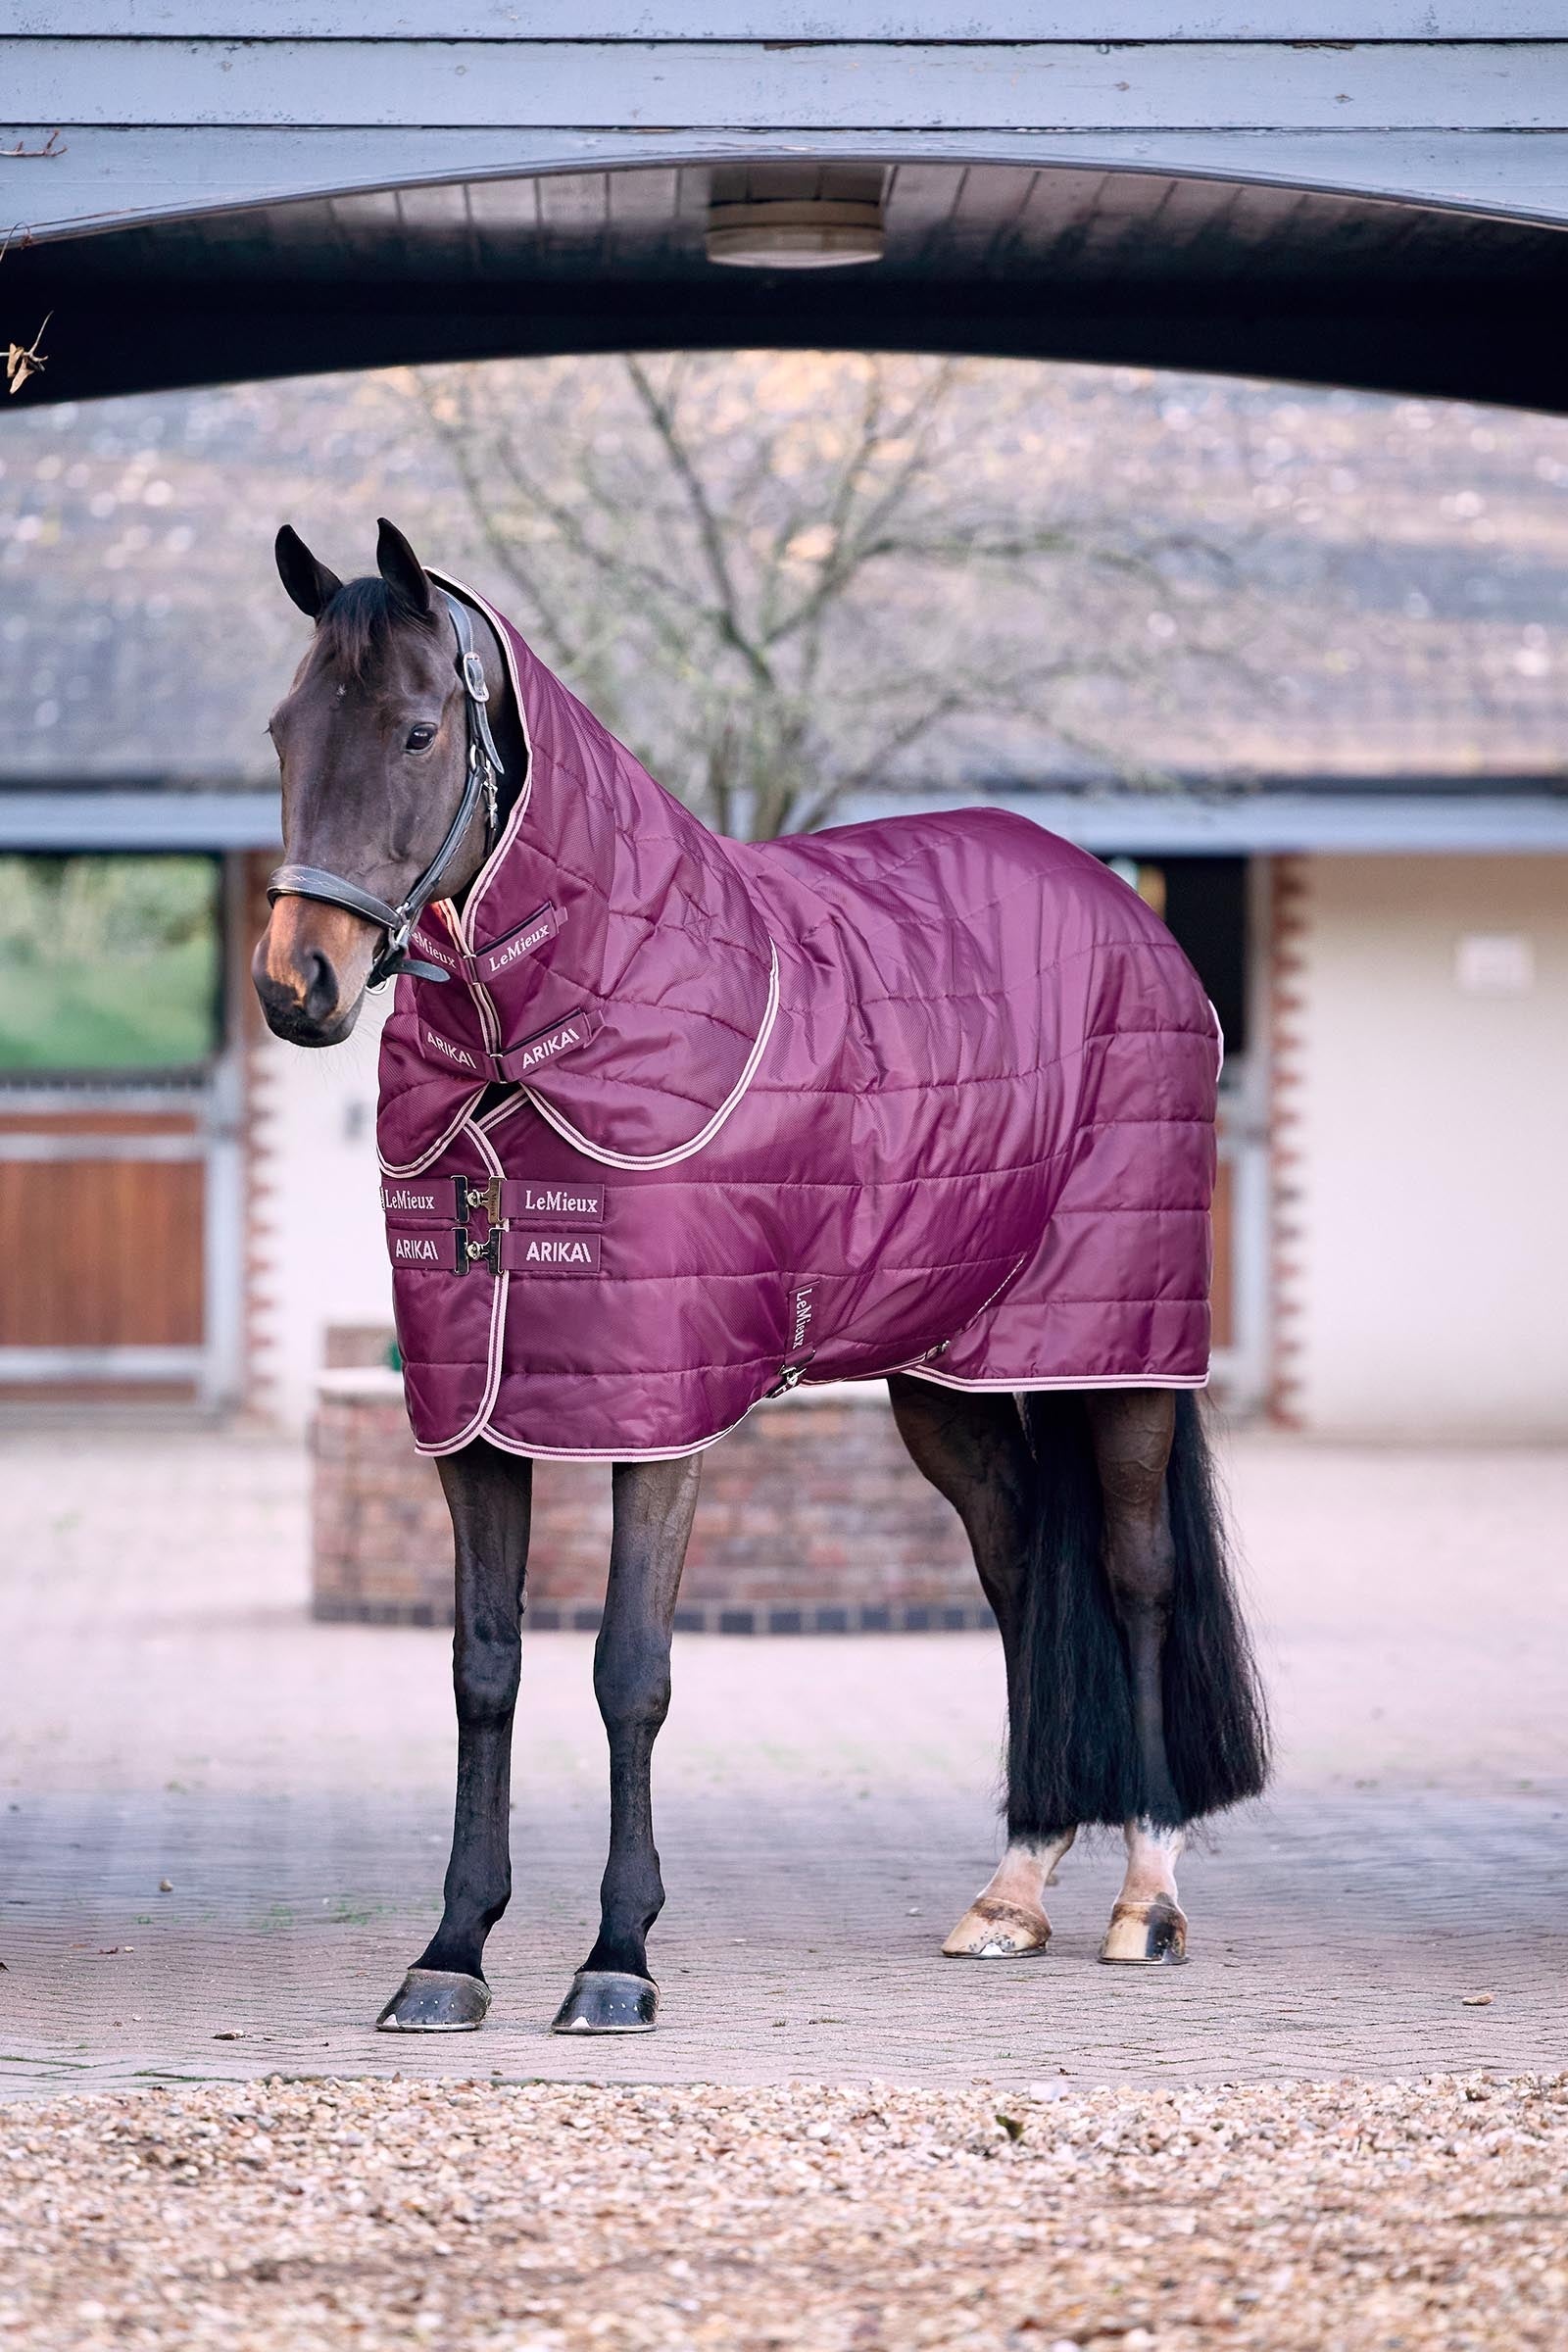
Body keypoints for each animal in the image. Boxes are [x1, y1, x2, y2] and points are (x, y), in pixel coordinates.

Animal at [253, 518, 1269, 2036]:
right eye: (281, 733)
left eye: (419, 730)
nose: (296, 985)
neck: (560, 1023)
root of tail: (1129, 916)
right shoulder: (472, 1415)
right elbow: (483, 1670)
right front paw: (450, 1952)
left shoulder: (659, 1415)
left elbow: (630, 1670)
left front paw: (617, 1957)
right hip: (949, 1376)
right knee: (1022, 1571)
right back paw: (1011, 1892)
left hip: (1119, 1354)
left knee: (1135, 1574)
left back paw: (1144, 1901)